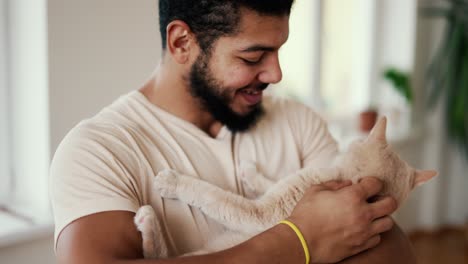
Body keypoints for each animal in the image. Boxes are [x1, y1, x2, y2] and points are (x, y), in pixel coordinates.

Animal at [133, 117, 436, 258]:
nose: (353, 141)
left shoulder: (259, 212)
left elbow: (211, 195)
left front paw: (173, 182)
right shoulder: (287, 183)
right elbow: (271, 180)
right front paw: (250, 172)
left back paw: (147, 219)